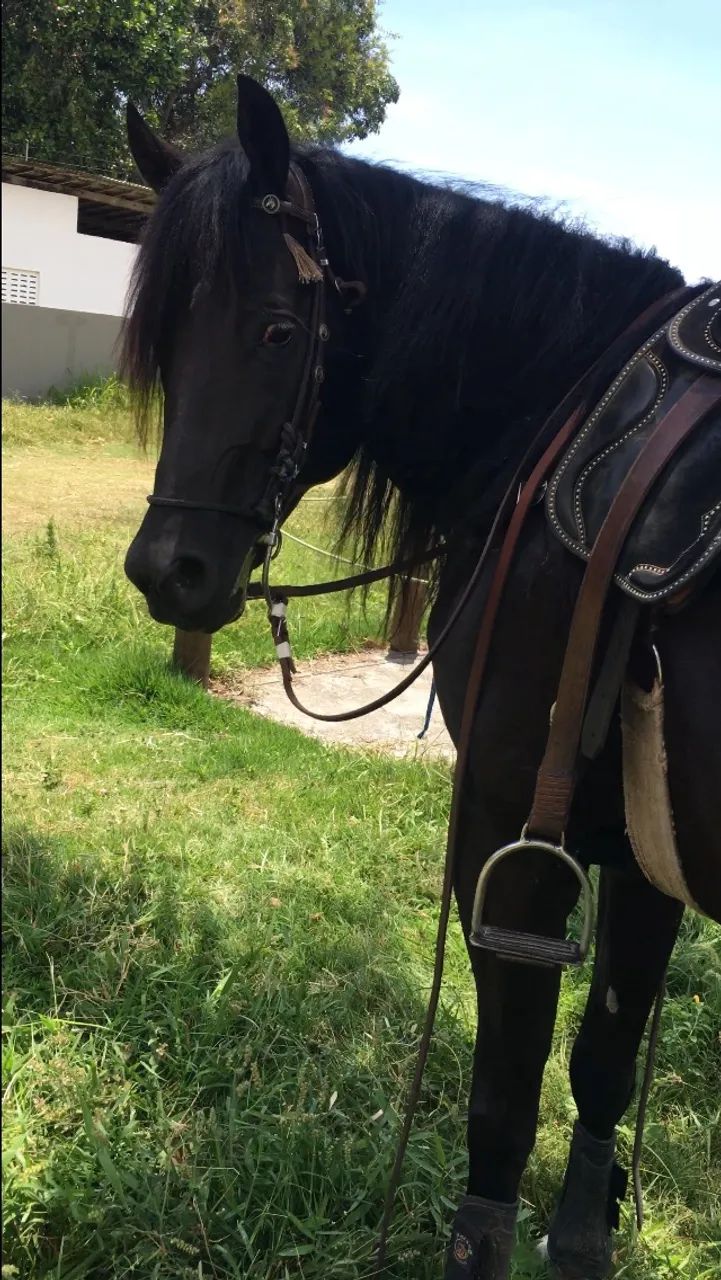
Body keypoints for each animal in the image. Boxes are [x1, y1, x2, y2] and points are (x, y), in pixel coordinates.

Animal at [121, 75, 720, 1279]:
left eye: (277, 330)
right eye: (164, 342)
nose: (169, 570)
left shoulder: (509, 841)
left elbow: (501, 1108)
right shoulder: (644, 856)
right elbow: (600, 1065)